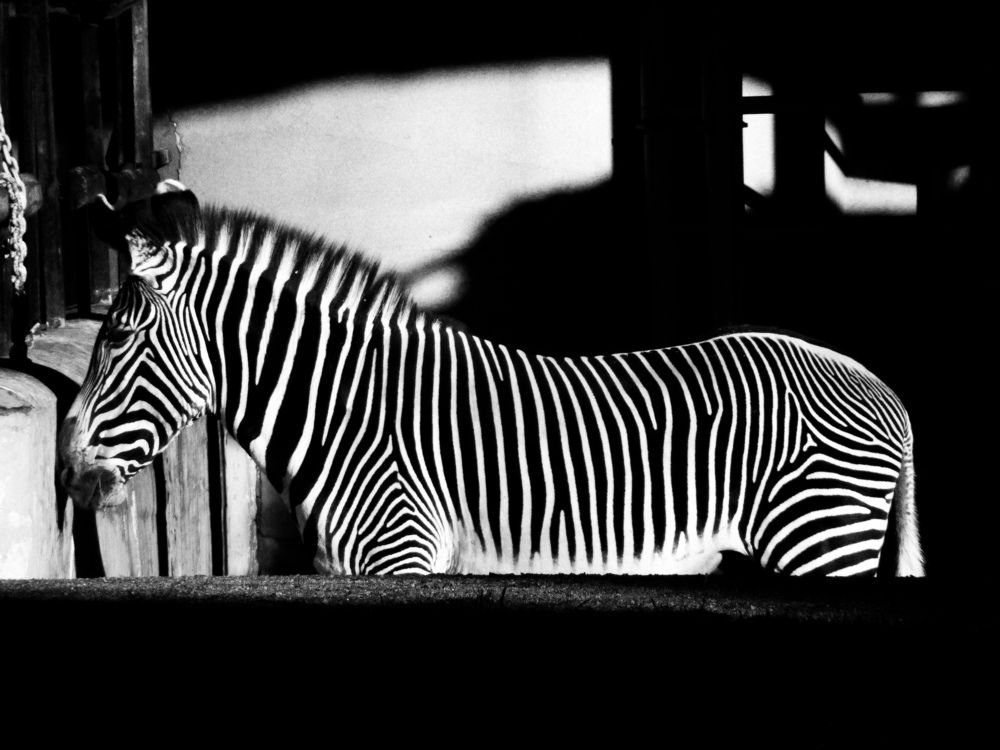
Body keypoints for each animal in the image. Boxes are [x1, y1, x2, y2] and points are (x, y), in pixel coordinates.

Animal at [59, 181, 924, 577]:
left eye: (121, 339)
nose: (68, 479)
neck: (342, 412)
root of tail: (879, 383)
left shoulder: (403, 551)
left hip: (818, 536)